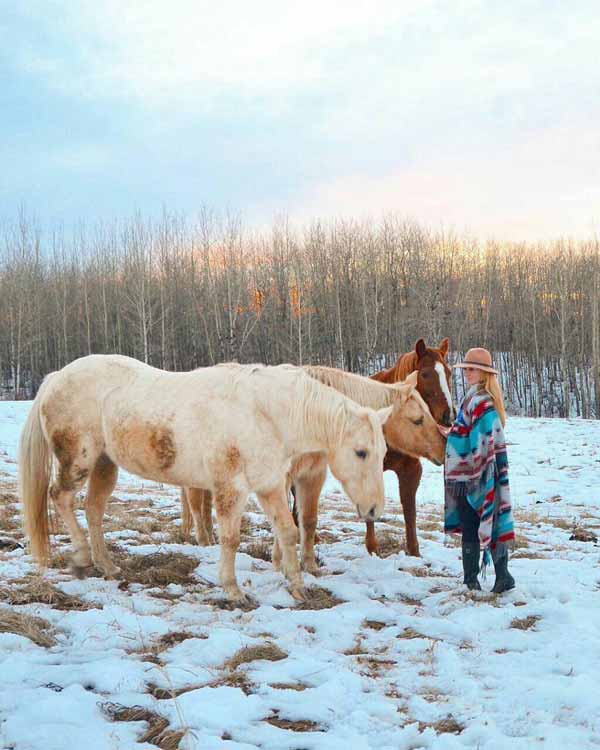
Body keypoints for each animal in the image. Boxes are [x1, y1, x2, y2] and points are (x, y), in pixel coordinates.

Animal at [18, 356, 390, 604]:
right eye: (360, 452)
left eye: (383, 451)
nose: (374, 509)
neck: (265, 412)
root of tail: (56, 377)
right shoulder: (231, 488)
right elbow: (230, 539)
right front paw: (233, 590)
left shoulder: (270, 485)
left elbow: (288, 532)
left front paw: (298, 587)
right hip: (79, 461)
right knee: (61, 498)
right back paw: (82, 559)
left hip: (104, 465)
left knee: (93, 510)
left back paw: (107, 566)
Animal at [179, 370, 446, 576]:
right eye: (417, 420)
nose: (444, 448)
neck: (313, 418)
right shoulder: (283, 477)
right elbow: (285, 519)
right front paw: (280, 563)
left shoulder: (313, 473)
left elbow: (308, 520)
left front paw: (309, 565)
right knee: (195, 503)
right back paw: (204, 543)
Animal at [366, 338, 454, 556]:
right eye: (425, 374)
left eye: (448, 373)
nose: (448, 416)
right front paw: (372, 549)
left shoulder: (411, 470)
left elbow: (410, 511)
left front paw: (414, 552)